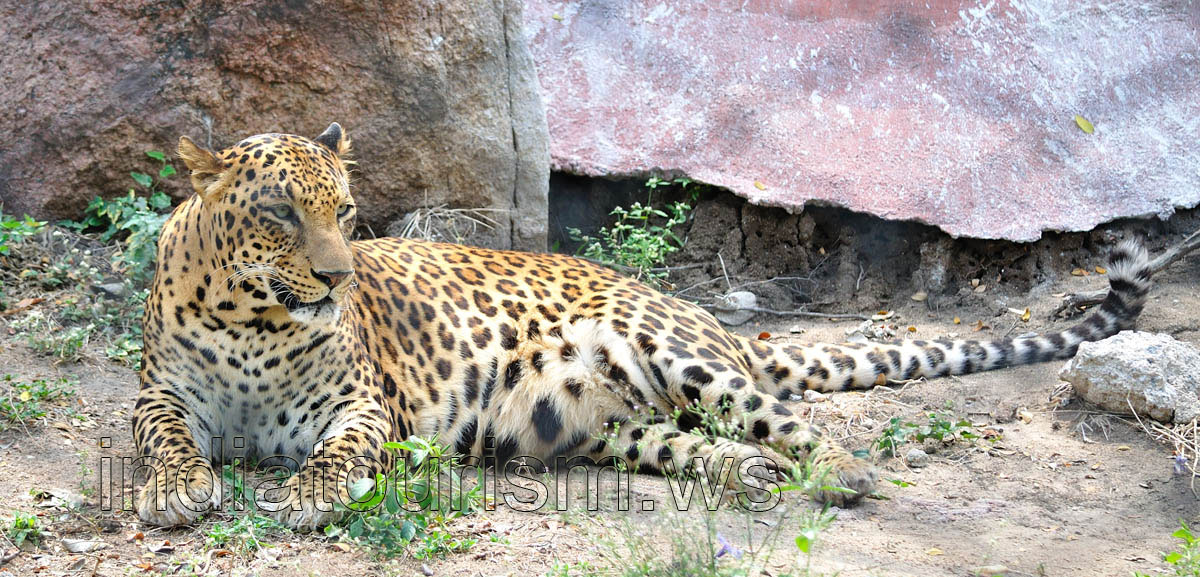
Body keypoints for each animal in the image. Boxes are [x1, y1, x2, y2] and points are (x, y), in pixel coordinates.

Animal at [133, 123, 1154, 530]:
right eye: (280, 214)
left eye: (344, 212)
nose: (337, 275)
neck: (255, 321)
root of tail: (717, 322)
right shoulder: (160, 393)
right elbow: (163, 438)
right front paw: (177, 488)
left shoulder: (362, 405)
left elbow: (337, 450)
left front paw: (308, 492)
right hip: (597, 426)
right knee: (697, 443)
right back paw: (747, 474)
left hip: (677, 350)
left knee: (787, 420)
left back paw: (842, 470)